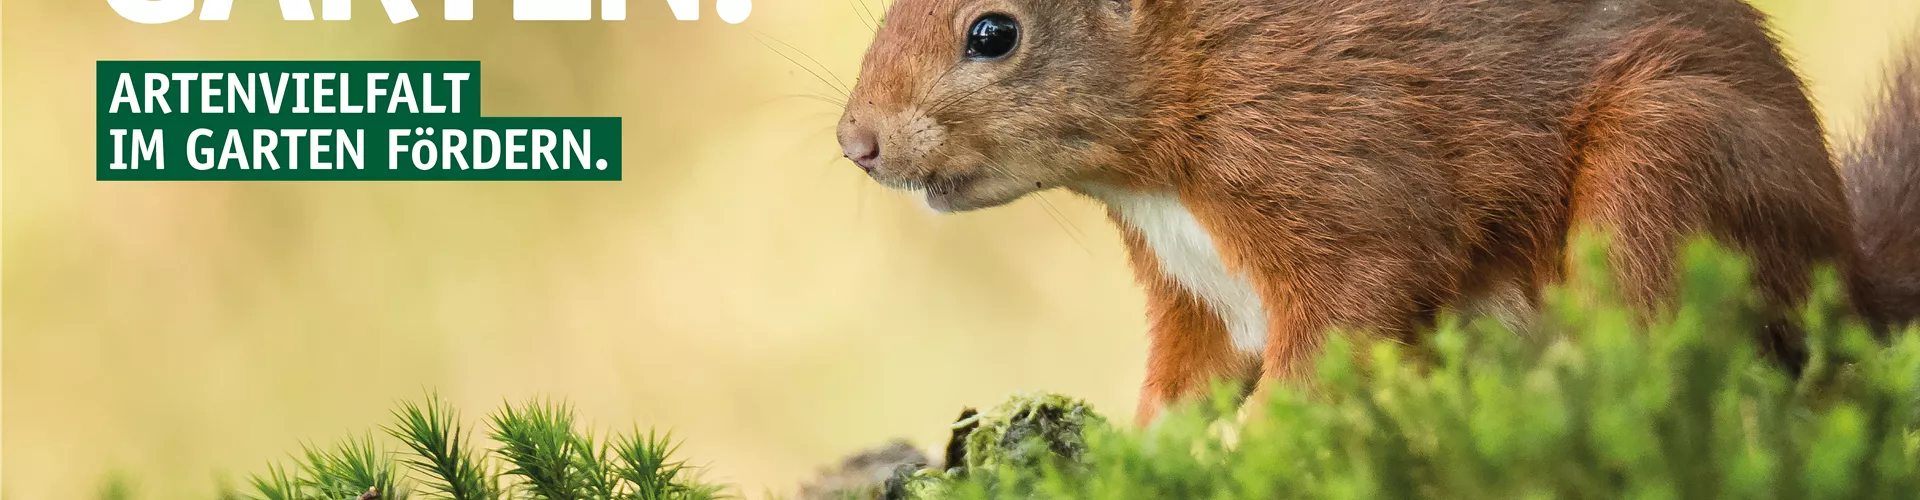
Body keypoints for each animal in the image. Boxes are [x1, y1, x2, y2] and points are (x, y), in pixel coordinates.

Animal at [834, 0, 1920, 423]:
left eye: (993, 33)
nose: (856, 141)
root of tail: (1848, 266)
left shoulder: (1343, 168)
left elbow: (1347, 319)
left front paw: (1247, 437)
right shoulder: (1191, 286)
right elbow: (1181, 376)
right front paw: (1152, 438)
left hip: (1667, 154)